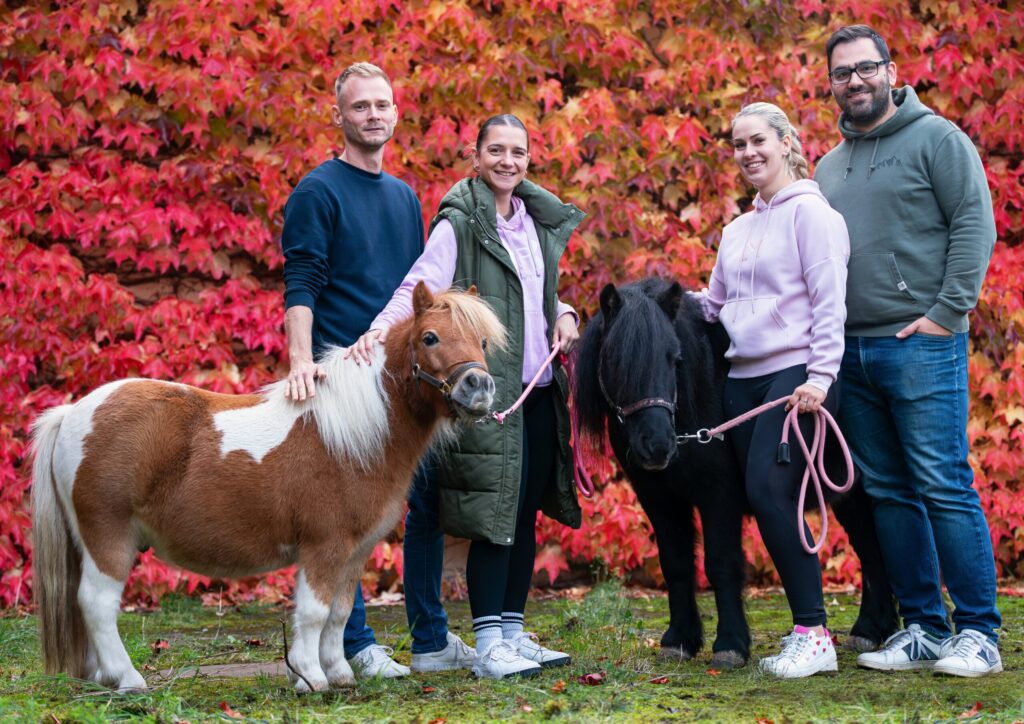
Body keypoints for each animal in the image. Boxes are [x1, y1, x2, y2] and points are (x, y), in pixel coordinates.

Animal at [31, 282, 505, 692]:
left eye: (482, 342)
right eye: (430, 338)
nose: (479, 387)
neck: (354, 433)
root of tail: (73, 412)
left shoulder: (354, 552)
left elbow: (338, 614)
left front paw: (339, 674)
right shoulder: (324, 546)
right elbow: (313, 613)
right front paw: (310, 678)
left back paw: (104, 678)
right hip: (108, 536)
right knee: (96, 603)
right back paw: (128, 680)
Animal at [572, 277, 898, 667]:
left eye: (674, 358)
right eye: (615, 361)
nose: (658, 445)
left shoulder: (719, 496)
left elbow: (721, 564)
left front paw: (729, 644)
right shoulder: (659, 498)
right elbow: (676, 563)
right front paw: (679, 639)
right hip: (847, 492)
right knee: (871, 546)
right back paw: (871, 629)